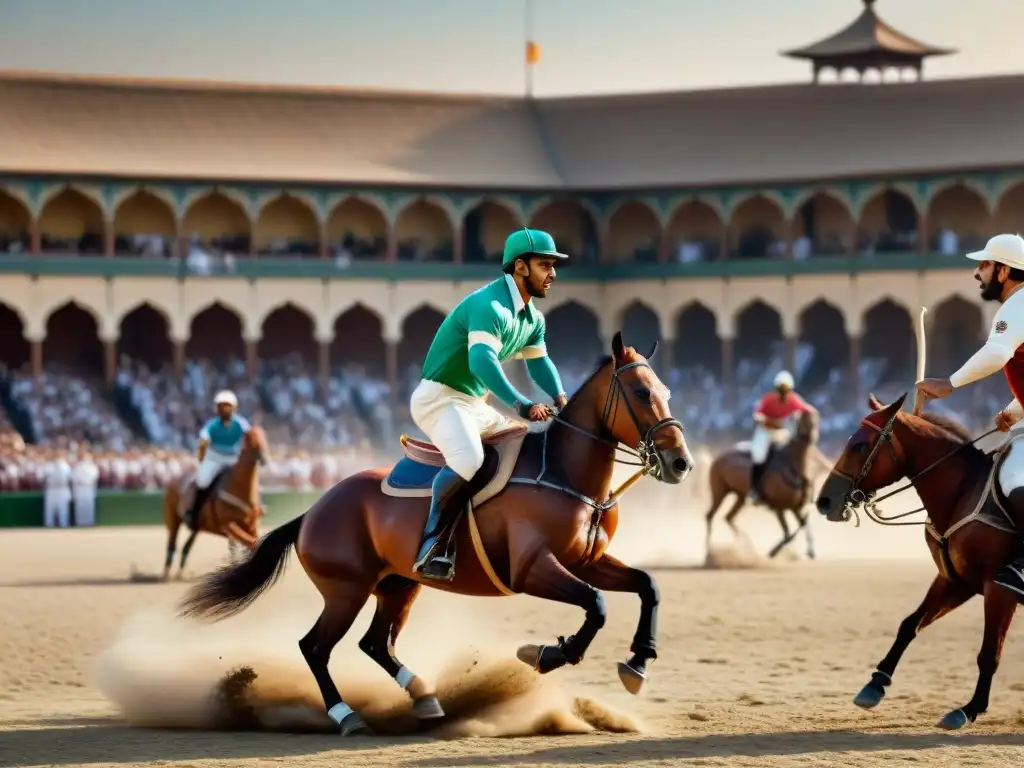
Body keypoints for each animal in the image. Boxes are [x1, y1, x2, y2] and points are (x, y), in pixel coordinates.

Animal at [161, 423, 270, 581]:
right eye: (249, 438)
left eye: (264, 436)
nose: (264, 458)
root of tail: (174, 479)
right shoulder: (228, 524)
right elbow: (251, 542)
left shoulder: (251, 524)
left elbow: (251, 542)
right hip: (173, 519)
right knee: (172, 543)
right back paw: (165, 574)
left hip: (197, 527)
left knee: (187, 545)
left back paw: (181, 572)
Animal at [180, 331, 692, 741]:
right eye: (641, 392)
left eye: (667, 391)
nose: (681, 462)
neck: (564, 472)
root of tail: (314, 509)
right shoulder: (532, 569)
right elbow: (596, 605)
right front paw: (548, 653)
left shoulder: (587, 561)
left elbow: (647, 585)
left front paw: (638, 662)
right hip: (347, 590)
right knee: (316, 647)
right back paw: (347, 715)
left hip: (398, 586)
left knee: (374, 644)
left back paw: (424, 696)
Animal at [704, 415, 823, 561]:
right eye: (801, 421)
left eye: (816, 419)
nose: (813, 436)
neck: (791, 465)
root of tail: (719, 457)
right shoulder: (779, 508)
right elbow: (788, 532)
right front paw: (774, 552)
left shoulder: (796, 507)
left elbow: (803, 524)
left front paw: (810, 551)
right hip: (719, 492)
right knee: (710, 516)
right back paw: (709, 550)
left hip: (740, 497)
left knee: (729, 517)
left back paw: (745, 543)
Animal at [815, 397, 1015, 733]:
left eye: (859, 445)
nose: (824, 502)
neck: (963, 493)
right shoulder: (956, 581)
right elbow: (910, 624)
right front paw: (875, 683)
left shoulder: (999, 587)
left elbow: (990, 653)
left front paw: (970, 709)